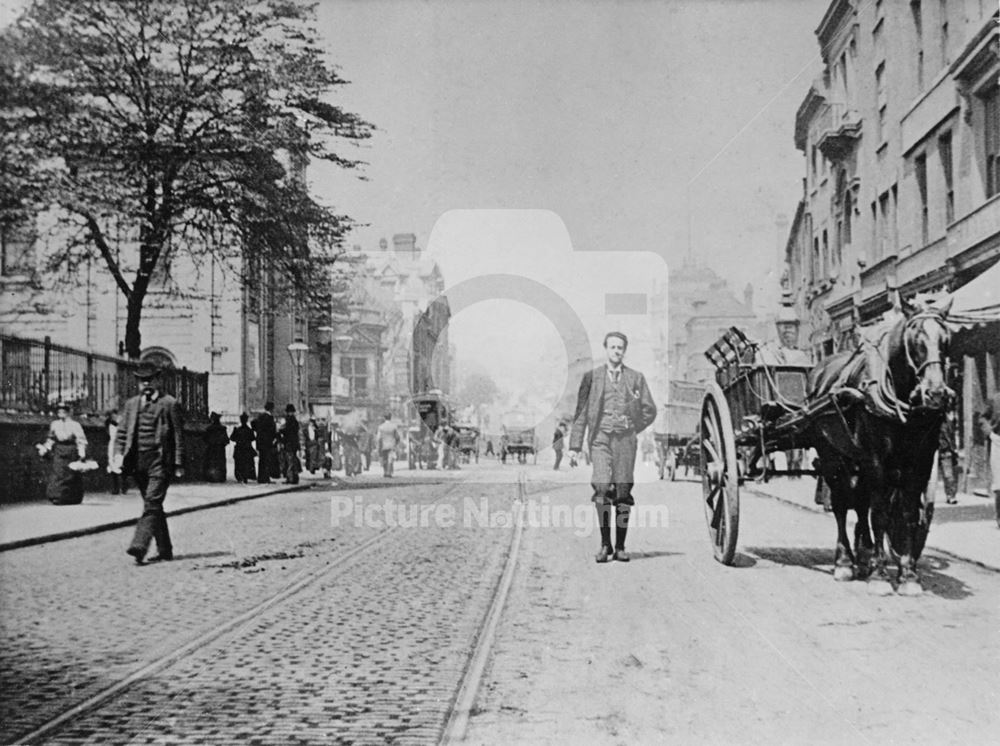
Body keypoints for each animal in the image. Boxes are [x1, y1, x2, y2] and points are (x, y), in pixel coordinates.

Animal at [804, 296, 952, 592]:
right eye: (915, 340)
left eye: (946, 339)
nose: (935, 393)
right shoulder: (875, 459)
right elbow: (880, 514)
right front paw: (880, 576)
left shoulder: (920, 462)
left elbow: (907, 513)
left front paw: (908, 575)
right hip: (831, 457)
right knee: (841, 504)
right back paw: (845, 562)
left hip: (855, 461)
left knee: (860, 503)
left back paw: (864, 555)